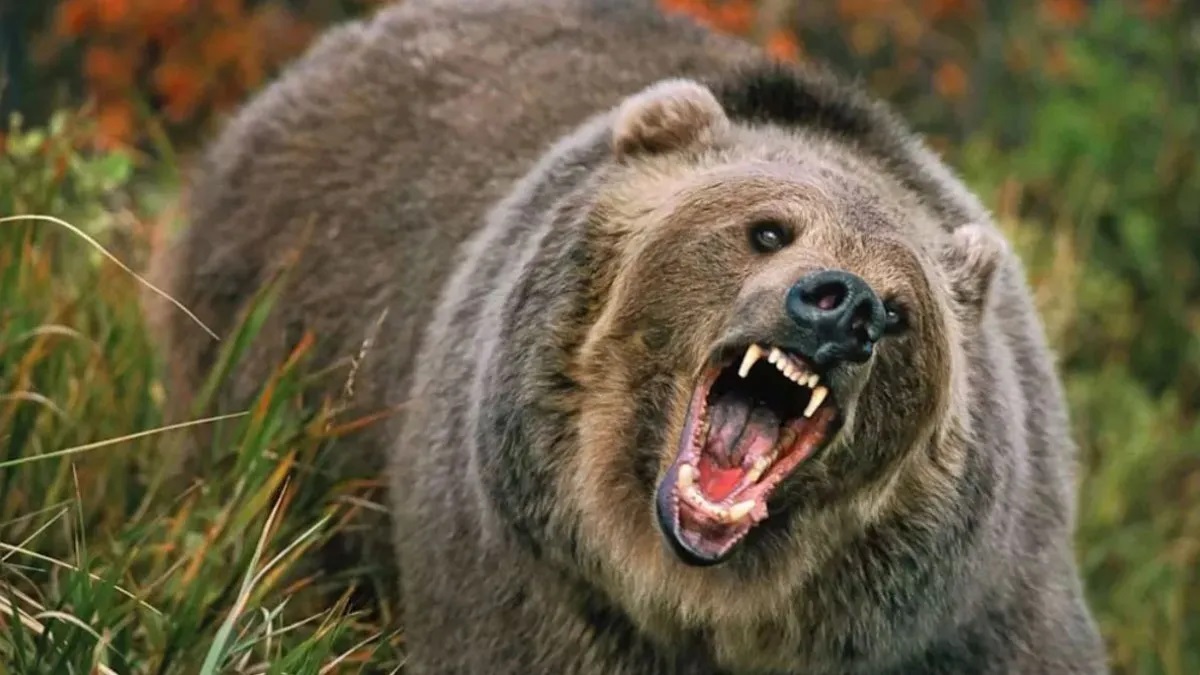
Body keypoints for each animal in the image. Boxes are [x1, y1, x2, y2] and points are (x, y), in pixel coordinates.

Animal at [145, 0, 1109, 673]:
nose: (845, 307)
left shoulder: (972, 609)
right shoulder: (530, 577)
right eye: (768, 228)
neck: (704, 598)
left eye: (904, 311)